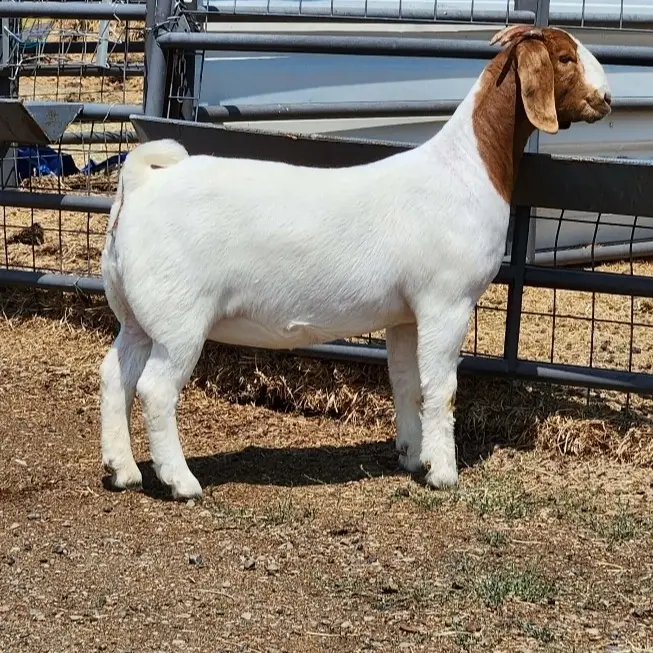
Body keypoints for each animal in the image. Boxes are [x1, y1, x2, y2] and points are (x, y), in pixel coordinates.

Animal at [100, 25, 611, 499]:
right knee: (155, 388)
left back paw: (123, 470)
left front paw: (413, 456)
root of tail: (143, 184)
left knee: (116, 374)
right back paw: (181, 481)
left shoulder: (406, 315)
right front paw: (444, 473)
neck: (468, 167)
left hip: (135, 310)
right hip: (179, 316)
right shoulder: (447, 301)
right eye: (565, 57)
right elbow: (441, 387)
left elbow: (407, 382)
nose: (606, 98)